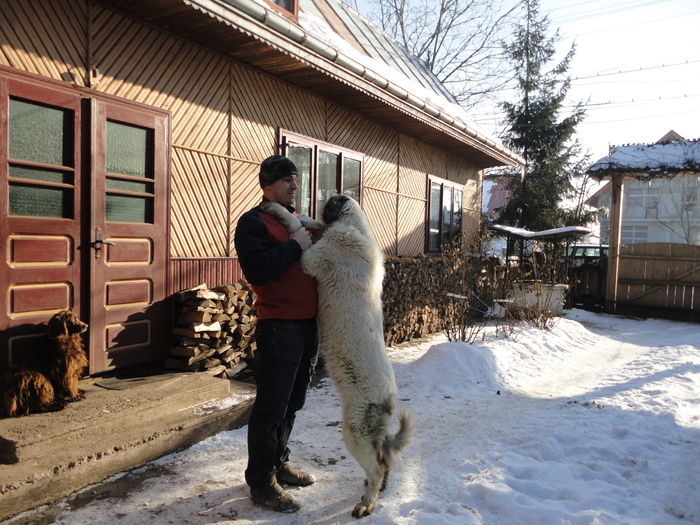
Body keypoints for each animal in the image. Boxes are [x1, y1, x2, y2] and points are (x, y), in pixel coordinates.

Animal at [262, 194, 416, 516]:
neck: (354, 225)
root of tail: (389, 399)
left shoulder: (313, 258)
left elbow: (298, 230)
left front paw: (280, 211)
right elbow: (311, 225)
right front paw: (303, 217)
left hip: (353, 430)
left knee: (376, 467)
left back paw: (366, 505)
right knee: (384, 460)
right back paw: (375, 493)